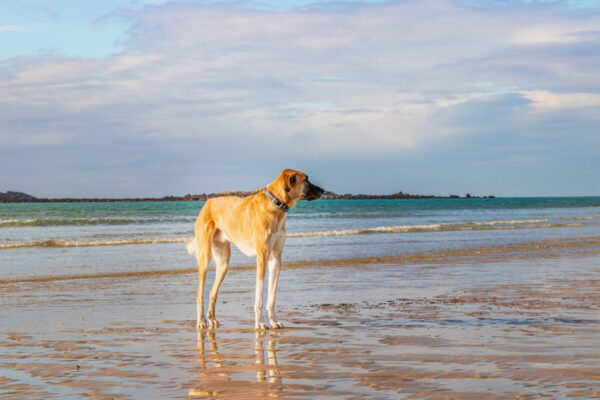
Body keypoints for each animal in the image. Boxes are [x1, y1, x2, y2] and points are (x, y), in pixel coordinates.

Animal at [186, 168, 324, 328]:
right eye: (306, 180)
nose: (323, 191)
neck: (276, 204)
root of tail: (207, 203)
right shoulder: (262, 258)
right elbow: (260, 296)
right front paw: (260, 323)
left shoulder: (275, 259)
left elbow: (272, 297)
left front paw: (274, 321)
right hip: (205, 257)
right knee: (199, 294)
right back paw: (201, 321)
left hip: (223, 262)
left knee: (212, 292)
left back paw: (212, 319)